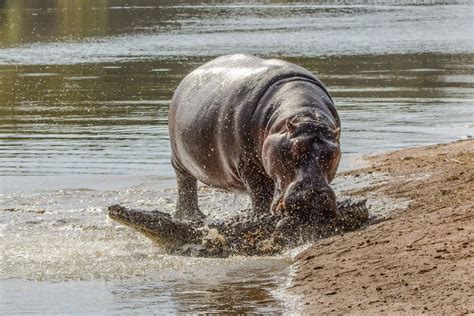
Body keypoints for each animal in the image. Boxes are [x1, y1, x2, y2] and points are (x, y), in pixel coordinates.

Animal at [168, 54, 338, 222]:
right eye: (295, 147)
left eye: (333, 154)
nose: (314, 195)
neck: (305, 114)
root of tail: (188, 77)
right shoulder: (249, 166)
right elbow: (260, 194)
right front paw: (262, 216)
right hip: (179, 161)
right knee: (185, 185)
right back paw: (190, 217)